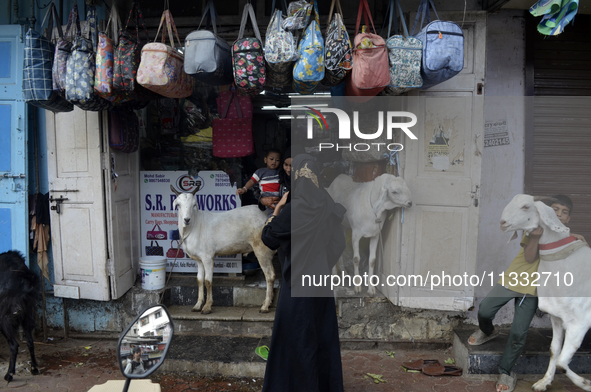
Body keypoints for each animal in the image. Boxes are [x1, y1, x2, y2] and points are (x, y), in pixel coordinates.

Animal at [0, 250, 40, 382]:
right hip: (28, 314)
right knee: (30, 341)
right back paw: (34, 368)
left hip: (5, 318)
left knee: (14, 345)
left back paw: (9, 374)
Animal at [169, 186, 276, 316]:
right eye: (178, 205)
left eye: (194, 205)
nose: (187, 219)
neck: (194, 226)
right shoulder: (199, 259)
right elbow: (199, 280)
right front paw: (197, 305)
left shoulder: (207, 256)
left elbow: (208, 281)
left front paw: (207, 307)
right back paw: (268, 302)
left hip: (262, 248)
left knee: (270, 275)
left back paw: (265, 306)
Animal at [500, 194, 591, 390]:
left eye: (526, 206)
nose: (502, 223)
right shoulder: (556, 317)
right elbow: (554, 351)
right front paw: (544, 382)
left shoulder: (579, 323)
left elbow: (562, 363)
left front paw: (585, 383)